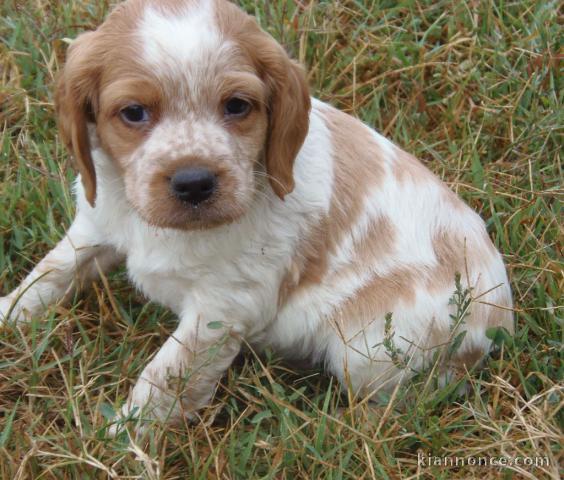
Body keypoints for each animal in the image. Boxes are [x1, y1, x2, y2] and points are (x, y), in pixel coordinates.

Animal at [0, 0, 512, 428]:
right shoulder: (96, 224)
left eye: (237, 106)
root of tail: (500, 318)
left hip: (370, 348)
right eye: (133, 113)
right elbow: (47, 277)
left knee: (400, 402)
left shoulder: (220, 308)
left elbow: (165, 377)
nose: (194, 182)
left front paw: (123, 440)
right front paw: (9, 317)